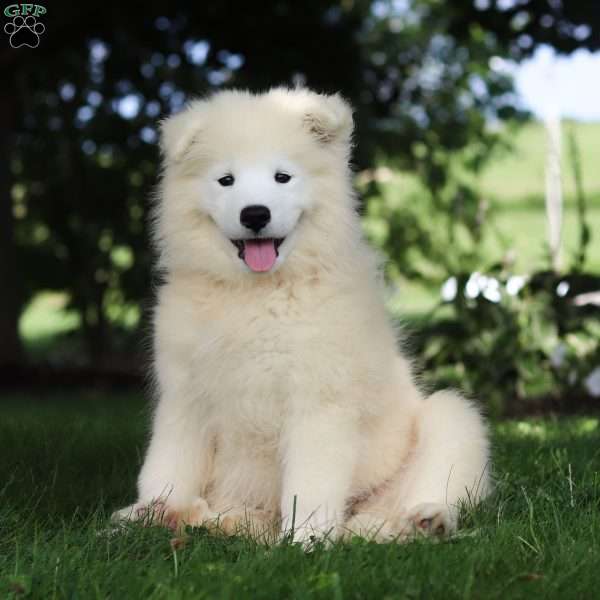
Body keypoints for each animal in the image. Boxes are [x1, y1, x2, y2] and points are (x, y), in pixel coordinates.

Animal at [113, 89, 492, 544]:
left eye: (282, 177)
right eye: (226, 180)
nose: (254, 214)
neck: (258, 295)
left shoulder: (319, 400)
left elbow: (310, 484)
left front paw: (304, 541)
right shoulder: (185, 396)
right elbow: (169, 465)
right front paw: (152, 509)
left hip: (451, 420)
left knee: (433, 483)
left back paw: (424, 520)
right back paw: (182, 517)